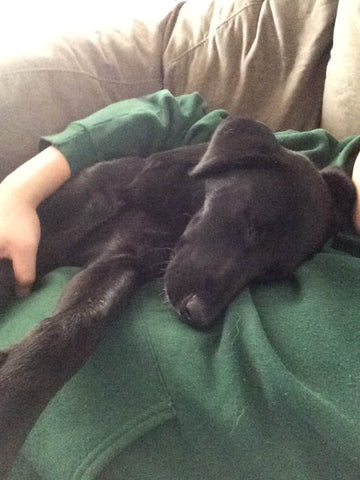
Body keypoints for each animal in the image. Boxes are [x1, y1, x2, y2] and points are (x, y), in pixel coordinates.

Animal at [0, 116, 356, 476]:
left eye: (268, 276)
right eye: (253, 225)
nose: (198, 314)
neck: (171, 210)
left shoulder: (120, 264)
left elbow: (79, 323)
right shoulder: (45, 234)